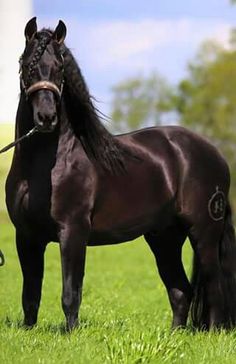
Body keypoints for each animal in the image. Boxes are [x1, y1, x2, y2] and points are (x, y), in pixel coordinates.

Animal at [6, 16, 236, 330]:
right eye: (27, 64)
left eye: (60, 67)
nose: (46, 118)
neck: (44, 166)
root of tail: (215, 154)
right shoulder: (27, 236)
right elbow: (30, 295)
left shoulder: (73, 231)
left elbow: (70, 292)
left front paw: (70, 333)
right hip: (164, 238)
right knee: (180, 290)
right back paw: (175, 333)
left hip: (203, 233)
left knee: (214, 288)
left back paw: (213, 331)